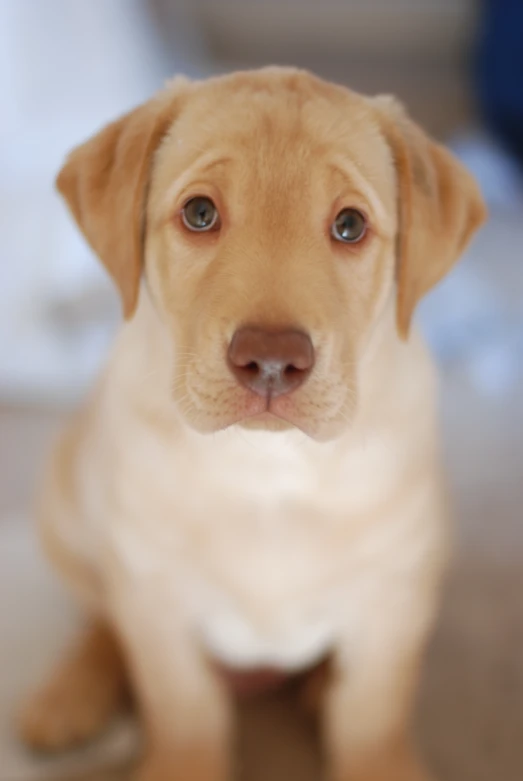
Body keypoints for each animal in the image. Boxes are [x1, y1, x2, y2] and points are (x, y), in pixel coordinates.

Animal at [19, 68, 488, 780]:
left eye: (350, 225)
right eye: (199, 214)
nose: (271, 360)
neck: (269, 468)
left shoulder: (395, 596)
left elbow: (370, 714)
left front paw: (377, 759)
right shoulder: (155, 596)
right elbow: (185, 708)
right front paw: (182, 764)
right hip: (67, 508)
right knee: (102, 621)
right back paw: (69, 693)